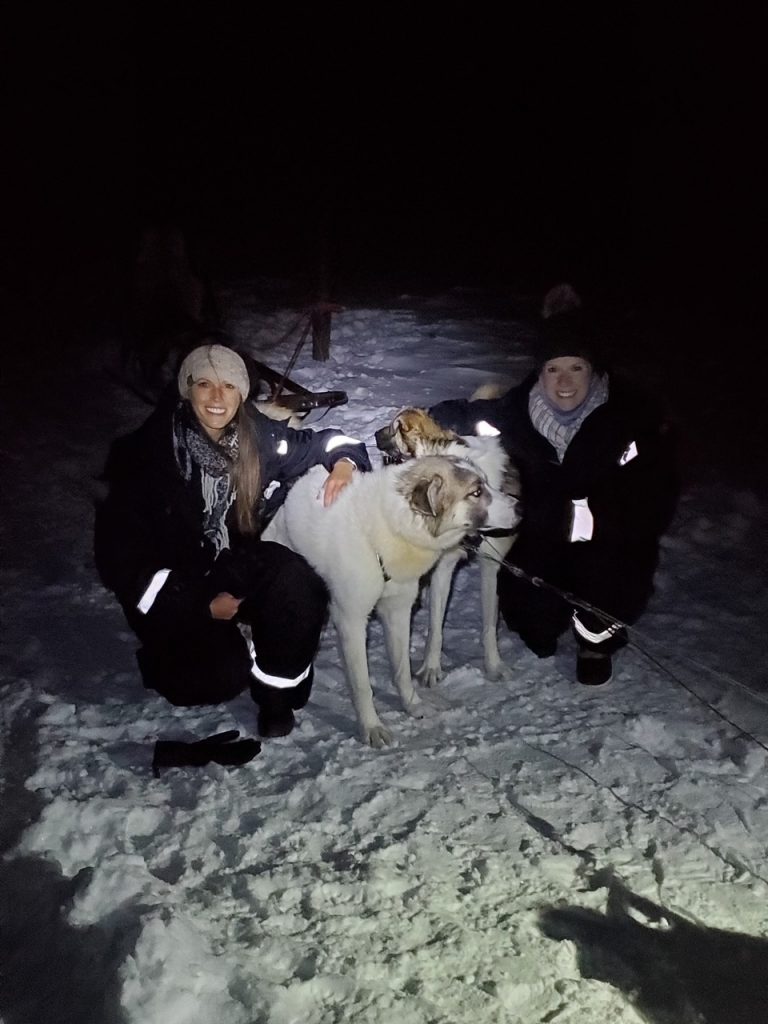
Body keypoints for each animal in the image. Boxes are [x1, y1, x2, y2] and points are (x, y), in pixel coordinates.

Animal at [262, 456, 520, 745]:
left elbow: (402, 669)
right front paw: (371, 727)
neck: (386, 531)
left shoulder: (399, 611)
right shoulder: (351, 621)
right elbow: (362, 685)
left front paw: (412, 704)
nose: (520, 507)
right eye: (475, 492)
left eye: (486, 482)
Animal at [374, 403, 524, 684]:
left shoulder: (492, 566)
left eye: (394, 427)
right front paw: (431, 668)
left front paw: (494, 665)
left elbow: (489, 625)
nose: (375, 434)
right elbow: (436, 626)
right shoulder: (444, 565)